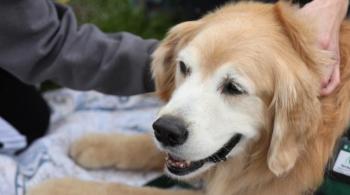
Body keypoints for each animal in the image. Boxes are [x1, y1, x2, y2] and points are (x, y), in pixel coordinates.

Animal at [28, 1, 350, 195]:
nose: (166, 131)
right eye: (183, 67)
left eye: (234, 88)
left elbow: (127, 190)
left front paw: (58, 186)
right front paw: (97, 144)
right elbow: (147, 145)